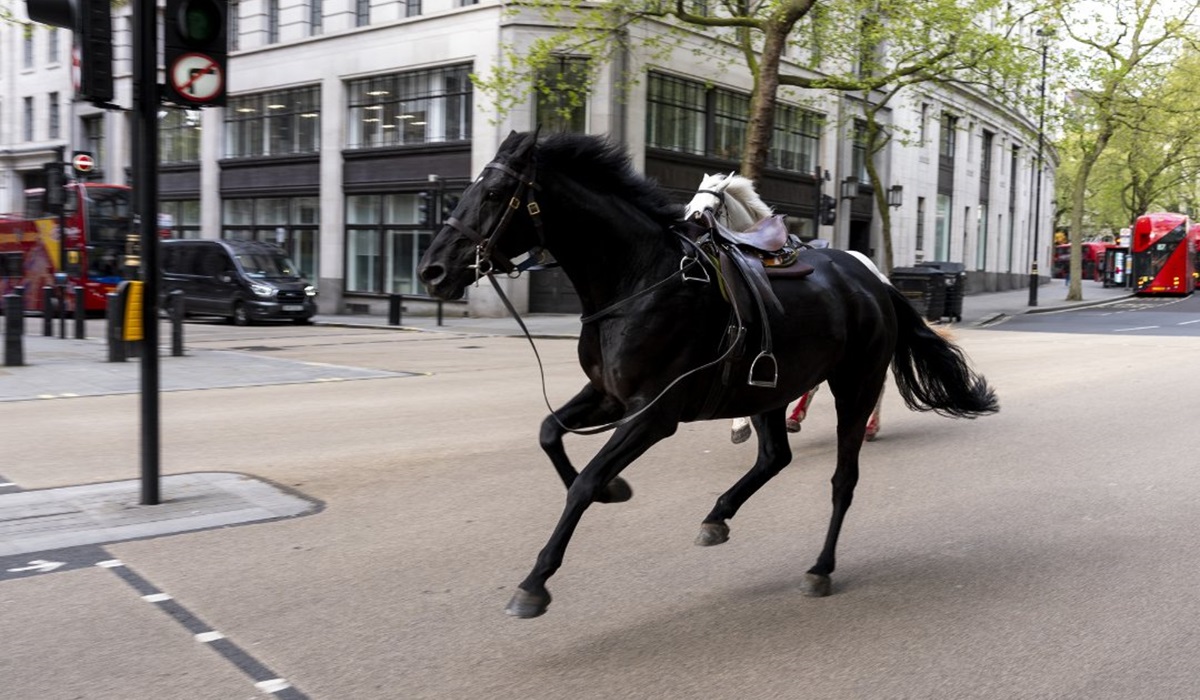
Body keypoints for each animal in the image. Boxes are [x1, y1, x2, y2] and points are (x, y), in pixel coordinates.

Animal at [684, 172, 887, 444]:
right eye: (689, 207)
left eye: (710, 209)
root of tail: (874, 270)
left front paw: (740, 425)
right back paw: (796, 417)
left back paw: (871, 426)